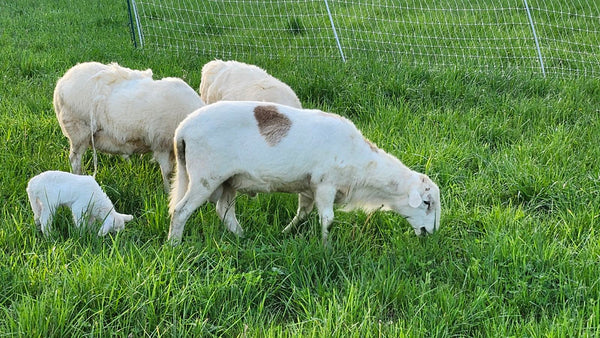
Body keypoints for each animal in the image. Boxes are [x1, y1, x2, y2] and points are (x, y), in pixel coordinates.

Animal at [54, 60, 204, 190]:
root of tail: (61, 82)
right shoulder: (163, 144)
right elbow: (167, 172)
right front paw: (167, 192)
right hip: (78, 130)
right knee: (75, 160)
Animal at [169, 100, 440, 246]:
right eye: (426, 203)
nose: (431, 233)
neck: (362, 165)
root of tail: (182, 129)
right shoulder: (325, 184)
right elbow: (327, 219)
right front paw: (326, 248)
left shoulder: (309, 187)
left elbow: (302, 214)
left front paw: (285, 234)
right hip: (205, 177)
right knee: (180, 211)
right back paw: (174, 245)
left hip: (227, 181)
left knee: (224, 212)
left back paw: (244, 237)